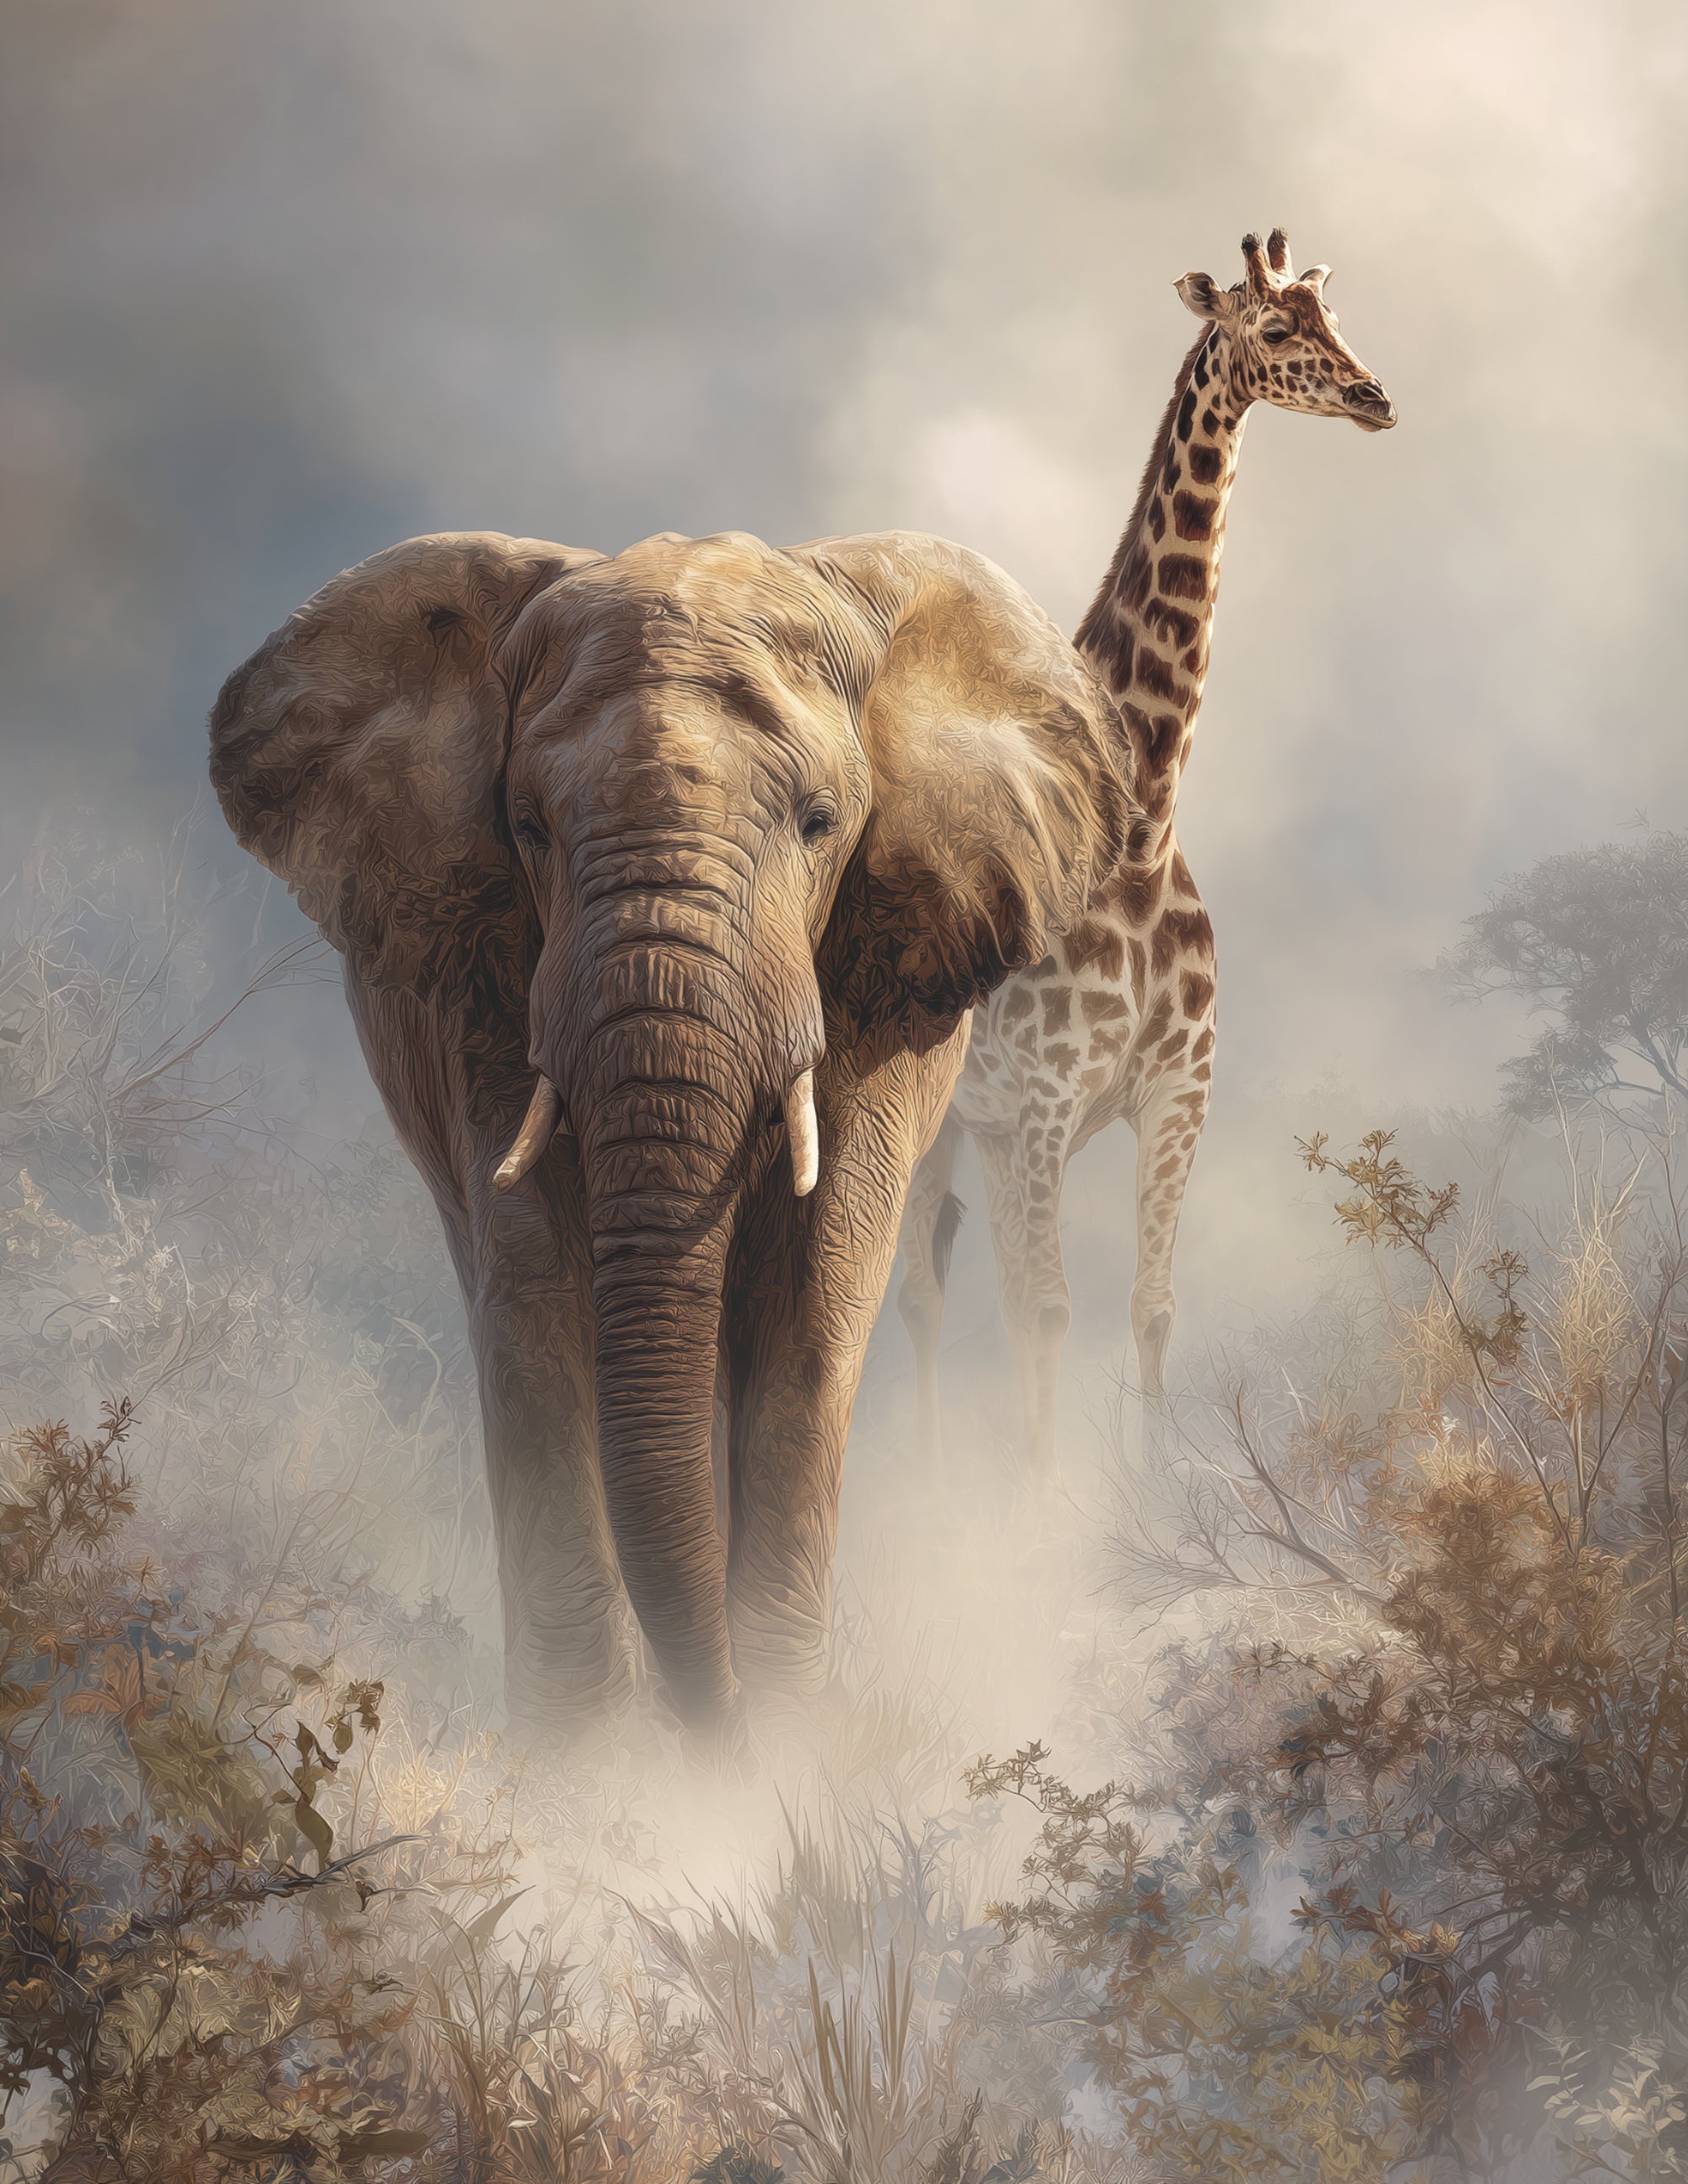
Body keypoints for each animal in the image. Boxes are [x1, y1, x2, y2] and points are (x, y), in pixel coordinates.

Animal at [210, 526, 1138, 1734]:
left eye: (819, 823)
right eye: (527, 827)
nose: (719, 1729)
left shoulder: (882, 976)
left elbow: (817, 1287)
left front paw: (777, 1744)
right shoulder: (486, 978)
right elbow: (536, 1292)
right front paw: (595, 1769)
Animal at [898, 228, 1396, 1479]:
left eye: (1333, 317)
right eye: (1271, 328)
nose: (1376, 397)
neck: (1144, 826)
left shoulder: (1177, 1089)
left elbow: (1150, 1307)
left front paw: (1152, 1503)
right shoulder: (1040, 1100)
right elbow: (1045, 1312)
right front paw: (1037, 1514)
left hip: (986, 1135)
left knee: (943, 1276)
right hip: (930, 1116)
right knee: (916, 1292)